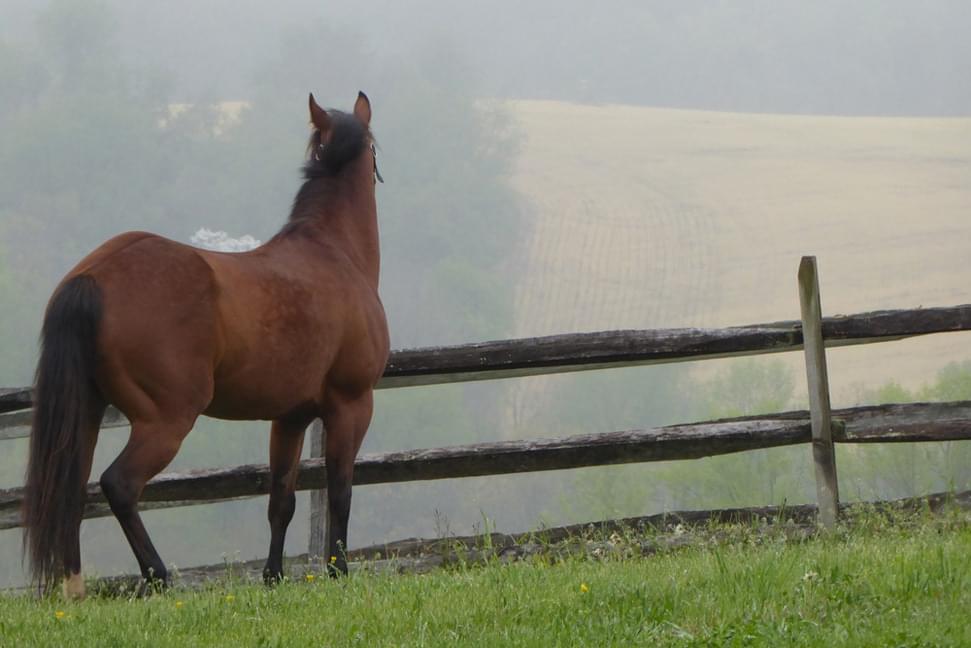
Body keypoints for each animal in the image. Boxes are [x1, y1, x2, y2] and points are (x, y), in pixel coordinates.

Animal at [20, 92, 390, 596]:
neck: (334, 252)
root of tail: (92, 276)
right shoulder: (351, 405)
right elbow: (341, 492)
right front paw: (338, 571)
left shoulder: (289, 418)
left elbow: (281, 499)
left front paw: (273, 576)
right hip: (166, 419)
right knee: (119, 484)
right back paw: (157, 576)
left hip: (89, 411)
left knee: (73, 487)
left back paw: (75, 587)